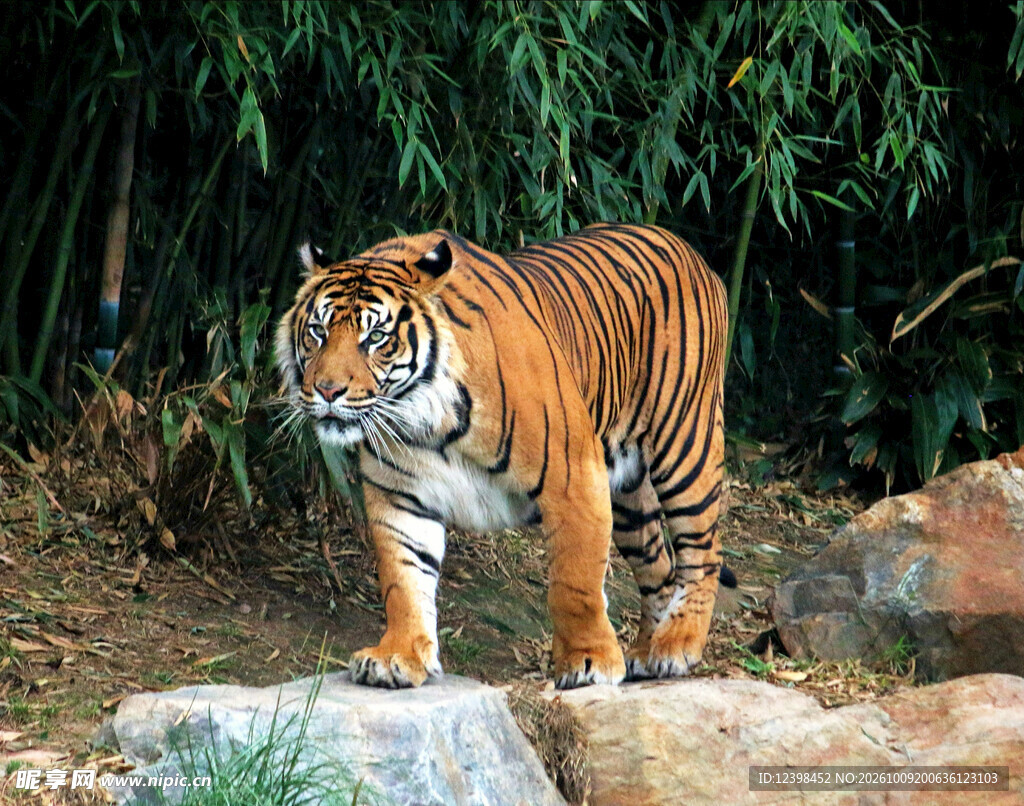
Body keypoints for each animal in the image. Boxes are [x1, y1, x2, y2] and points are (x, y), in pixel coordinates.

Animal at [276, 223, 729, 689]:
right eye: (317, 331)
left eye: (376, 338)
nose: (328, 390)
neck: (425, 418)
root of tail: (686, 248)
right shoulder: (400, 495)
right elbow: (403, 580)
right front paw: (397, 656)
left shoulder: (575, 477)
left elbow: (575, 584)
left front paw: (589, 662)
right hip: (628, 496)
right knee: (659, 568)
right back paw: (646, 651)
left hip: (685, 446)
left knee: (704, 553)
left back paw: (676, 646)